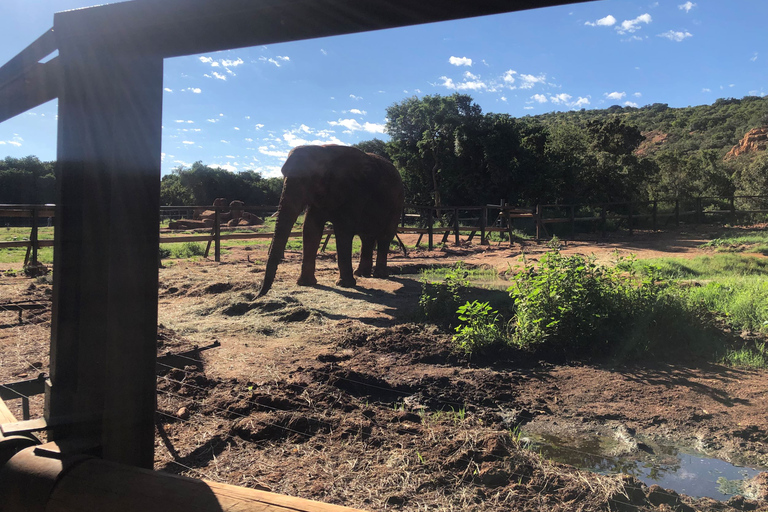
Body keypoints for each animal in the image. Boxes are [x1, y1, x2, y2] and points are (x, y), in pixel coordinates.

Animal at [258, 144, 404, 296]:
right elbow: (310, 229)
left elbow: (343, 230)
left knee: (385, 236)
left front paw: (345, 284)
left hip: (397, 204)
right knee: (366, 237)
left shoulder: (355, 192)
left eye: (308, 178)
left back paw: (379, 275)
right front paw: (306, 283)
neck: (324, 150)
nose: (257, 295)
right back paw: (361, 274)